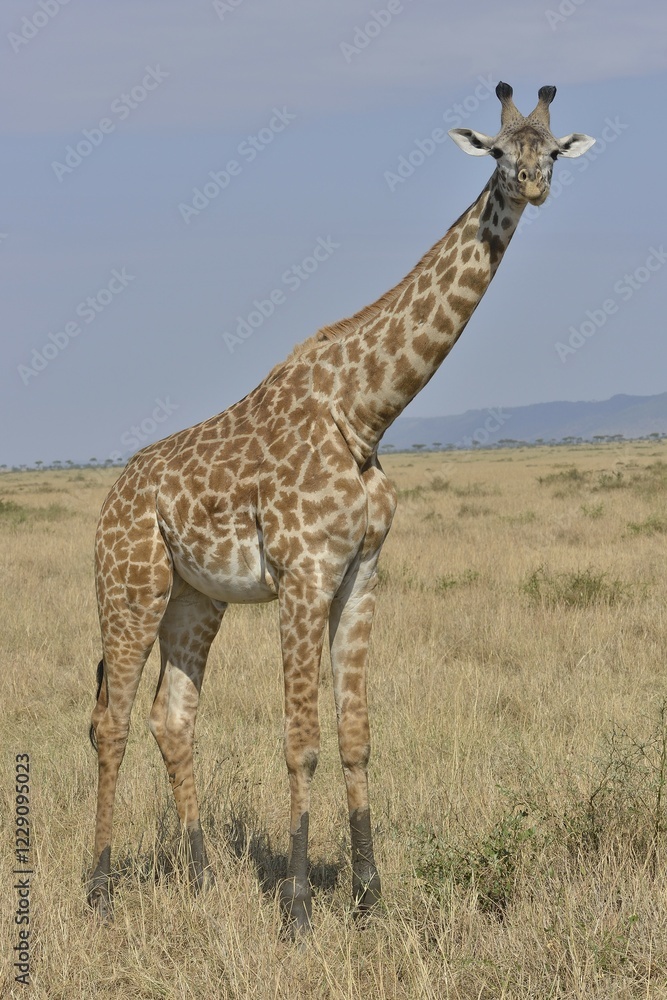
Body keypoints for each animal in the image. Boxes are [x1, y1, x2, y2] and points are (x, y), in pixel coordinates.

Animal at [88, 83, 594, 936]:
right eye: (497, 150)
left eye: (552, 150)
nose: (532, 184)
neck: (364, 413)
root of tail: (110, 499)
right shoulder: (303, 574)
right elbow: (302, 740)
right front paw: (296, 907)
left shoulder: (361, 574)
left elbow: (355, 735)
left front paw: (367, 895)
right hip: (130, 588)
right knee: (111, 720)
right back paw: (96, 889)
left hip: (195, 598)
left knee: (172, 716)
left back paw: (200, 879)